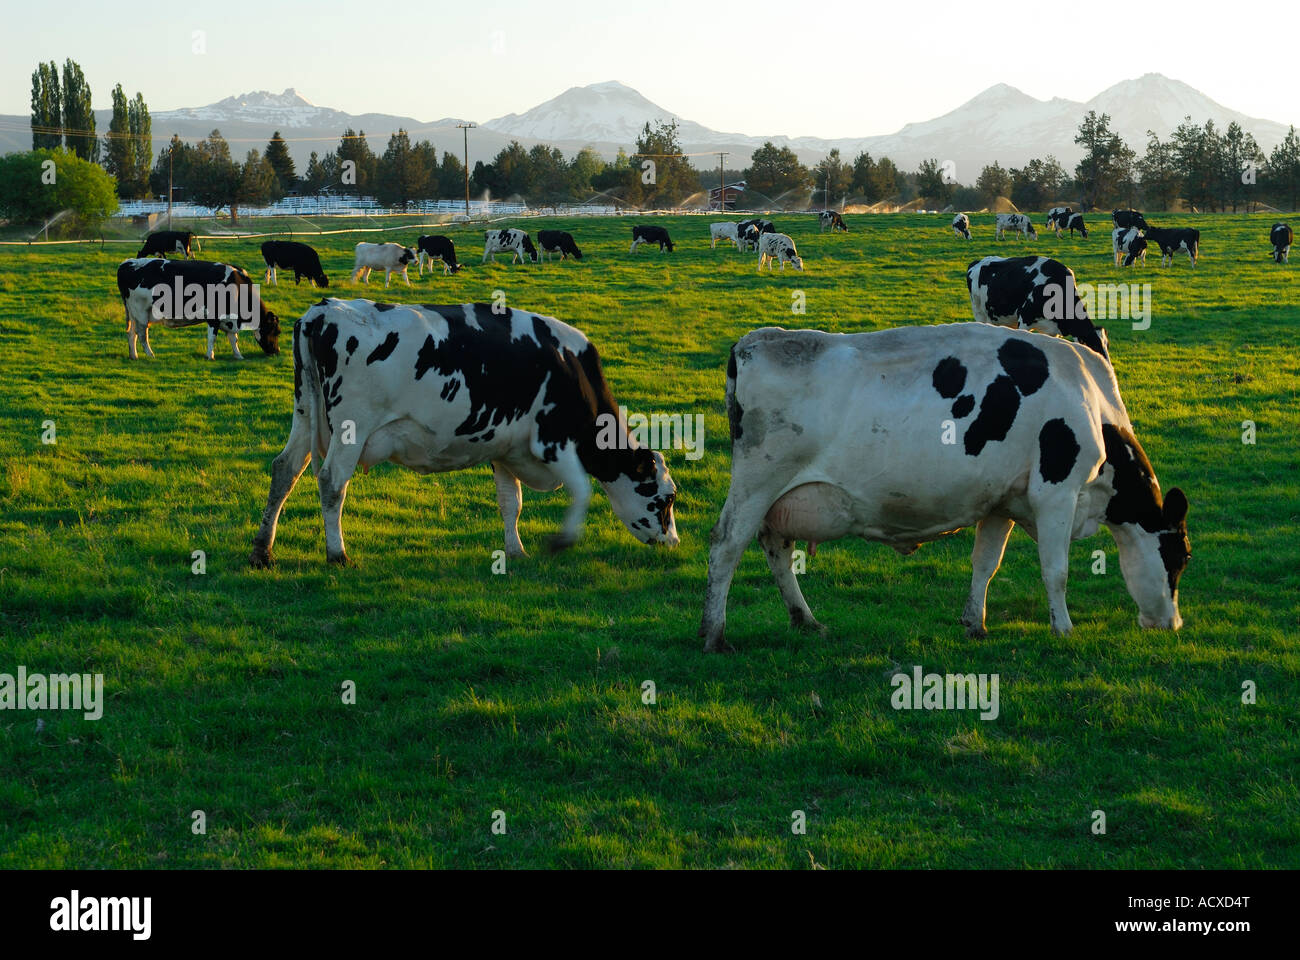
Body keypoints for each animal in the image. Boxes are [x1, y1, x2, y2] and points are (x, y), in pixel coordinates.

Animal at [116, 254, 279, 359]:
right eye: (276, 332)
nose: (276, 352)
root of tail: (127, 262)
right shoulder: (213, 316)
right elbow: (212, 338)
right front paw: (210, 356)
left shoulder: (229, 319)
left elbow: (233, 338)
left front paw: (238, 355)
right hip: (141, 312)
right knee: (142, 334)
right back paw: (150, 355)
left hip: (133, 313)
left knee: (131, 333)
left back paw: (134, 355)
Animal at [248, 300, 686, 567]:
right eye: (666, 499)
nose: (674, 542)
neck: (570, 369)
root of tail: (322, 311)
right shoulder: (552, 441)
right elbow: (582, 490)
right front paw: (561, 541)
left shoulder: (506, 449)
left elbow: (511, 503)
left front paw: (515, 550)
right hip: (350, 428)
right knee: (332, 483)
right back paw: (336, 554)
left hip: (305, 414)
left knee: (284, 470)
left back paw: (263, 551)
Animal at [702, 323, 1190, 650]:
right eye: (1180, 557)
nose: (1174, 624)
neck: (1089, 398)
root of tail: (752, 342)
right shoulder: (1057, 492)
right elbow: (1057, 570)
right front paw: (1064, 628)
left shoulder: (1001, 501)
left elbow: (985, 564)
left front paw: (975, 622)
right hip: (758, 482)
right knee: (727, 545)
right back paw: (714, 633)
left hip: (780, 497)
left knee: (777, 549)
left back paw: (804, 620)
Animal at [967, 254, 1107, 359]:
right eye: (1094, 347)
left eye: (1107, 346)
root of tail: (977, 262)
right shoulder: (1024, 320)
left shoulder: (1053, 332)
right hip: (979, 312)